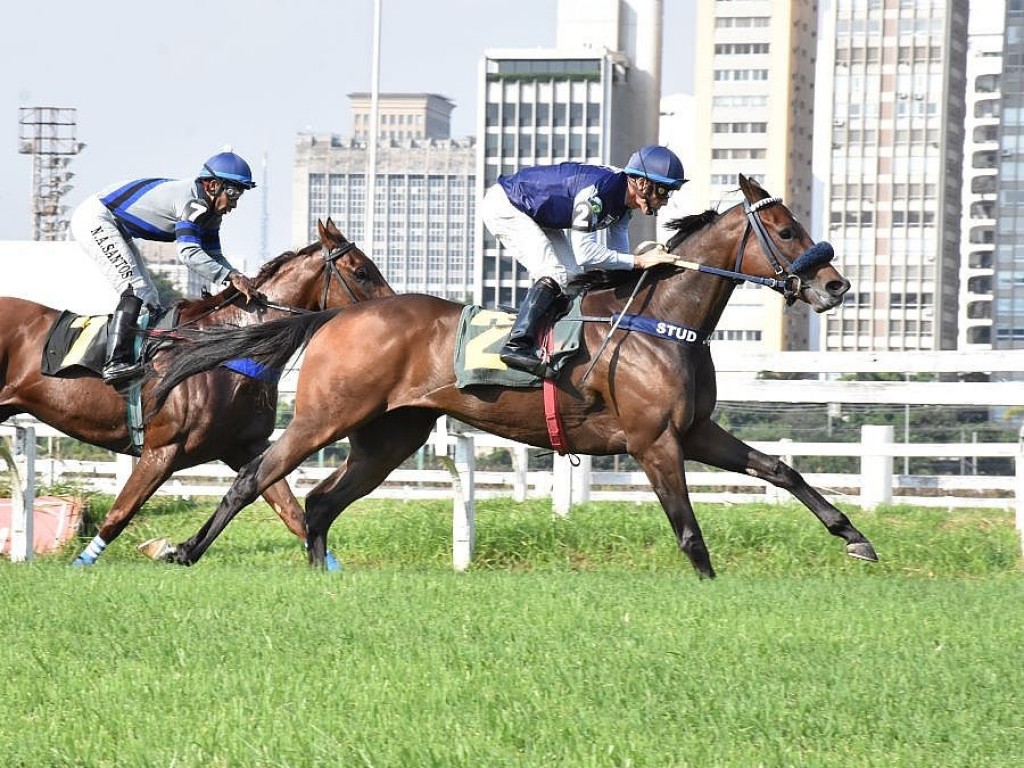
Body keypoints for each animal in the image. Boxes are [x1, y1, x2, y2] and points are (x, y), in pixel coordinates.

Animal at [0, 217, 391, 565]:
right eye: (361, 272)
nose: (392, 309)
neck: (225, 348)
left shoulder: (245, 446)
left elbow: (290, 510)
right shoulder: (162, 449)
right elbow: (119, 514)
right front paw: (81, 566)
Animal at [148, 179, 876, 577]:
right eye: (785, 228)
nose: (835, 285)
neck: (662, 321)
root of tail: (335, 315)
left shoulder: (695, 431)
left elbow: (782, 470)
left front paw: (856, 539)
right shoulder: (654, 443)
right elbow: (688, 525)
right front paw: (708, 584)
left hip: (391, 436)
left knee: (323, 501)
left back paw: (319, 573)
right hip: (326, 417)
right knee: (254, 478)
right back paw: (182, 551)